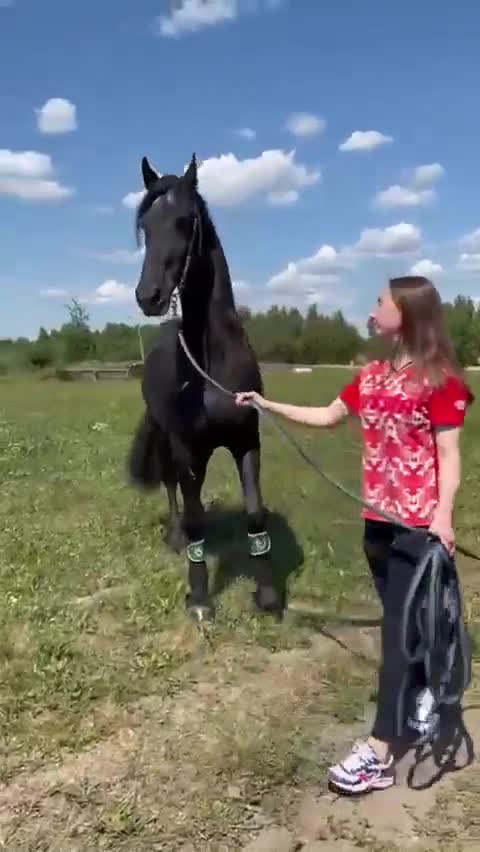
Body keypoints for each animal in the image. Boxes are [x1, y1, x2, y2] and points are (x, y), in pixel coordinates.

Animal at [127, 153, 282, 621]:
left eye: (185, 220)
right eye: (145, 226)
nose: (149, 295)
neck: (212, 363)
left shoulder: (246, 440)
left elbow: (254, 514)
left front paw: (267, 595)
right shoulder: (185, 447)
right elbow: (191, 510)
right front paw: (199, 599)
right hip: (169, 442)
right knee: (174, 488)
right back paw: (178, 538)